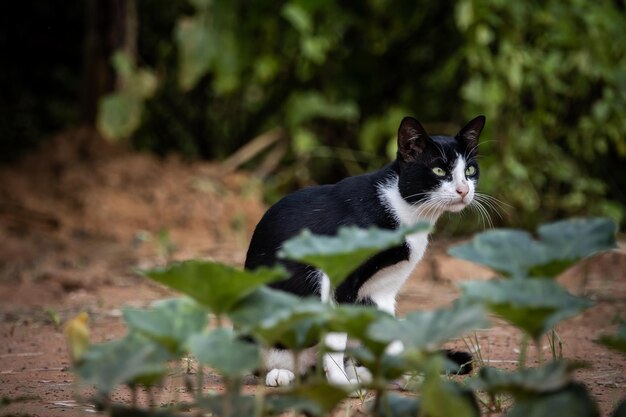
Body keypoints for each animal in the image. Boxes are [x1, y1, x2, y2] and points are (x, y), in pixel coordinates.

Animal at [243, 114, 482, 386]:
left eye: (470, 170)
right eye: (439, 170)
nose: (464, 190)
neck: (402, 209)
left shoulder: (383, 290)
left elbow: (388, 329)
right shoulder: (337, 272)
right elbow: (336, 333)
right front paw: (339, 383)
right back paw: (282, 374)